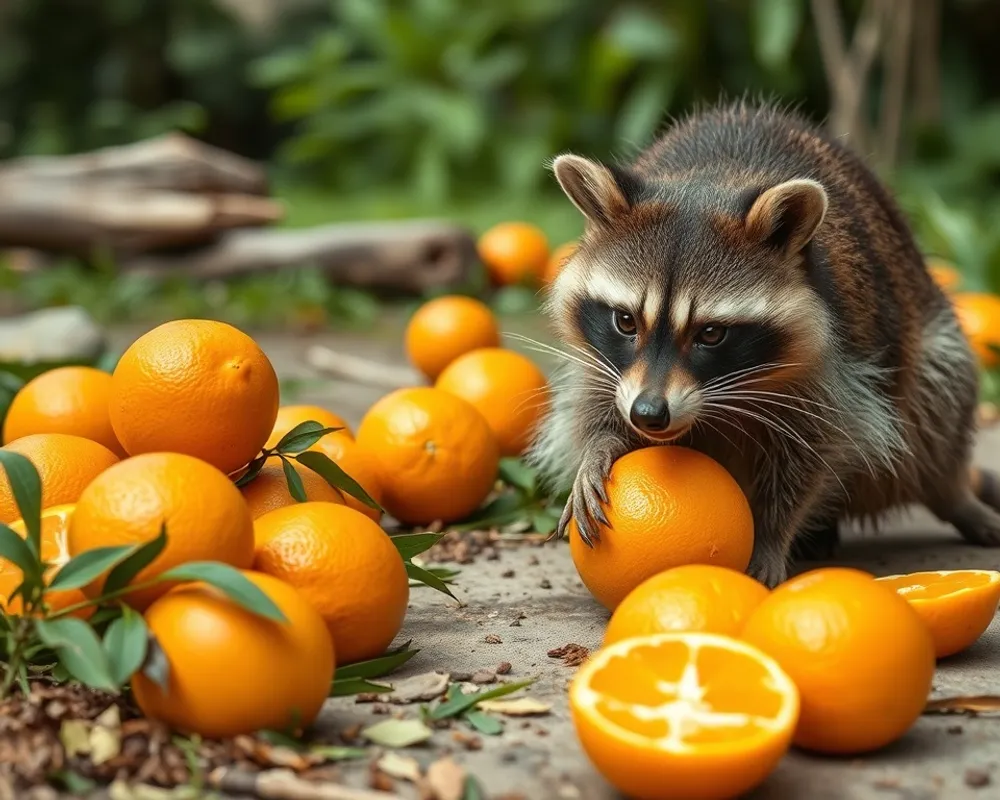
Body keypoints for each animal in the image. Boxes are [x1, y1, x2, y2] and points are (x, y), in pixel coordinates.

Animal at [529, 100, 1000, 587]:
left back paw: (951, 493)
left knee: (938, 409)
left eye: (710, 334)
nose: (649, 414)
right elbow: (592, 405)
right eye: (625, 321)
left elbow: (814, 452)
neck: (709, 179)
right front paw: (599, 447)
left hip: (928, 345)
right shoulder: (601, 363)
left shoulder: (836, 370)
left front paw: (772, 535)